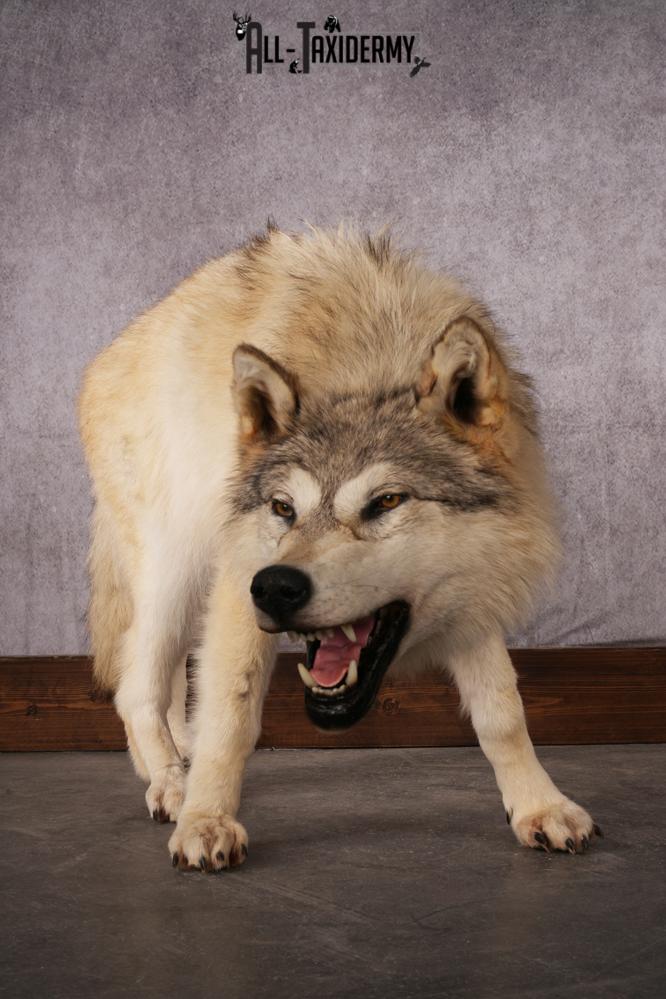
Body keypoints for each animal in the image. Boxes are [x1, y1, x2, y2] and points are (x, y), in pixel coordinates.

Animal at [78, 222, 600, 872]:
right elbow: (231, 711)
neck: (368, 367)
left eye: (386, 502)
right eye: (283, 508)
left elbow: (502, 712)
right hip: (176, 570)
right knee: (136, 689)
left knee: (170, 688)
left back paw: (177, 766)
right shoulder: (236, 582)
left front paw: (540, 807)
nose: (275, 587)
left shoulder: (472, 597)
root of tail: (108, 355)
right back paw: (173, 784)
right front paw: (208, 820)